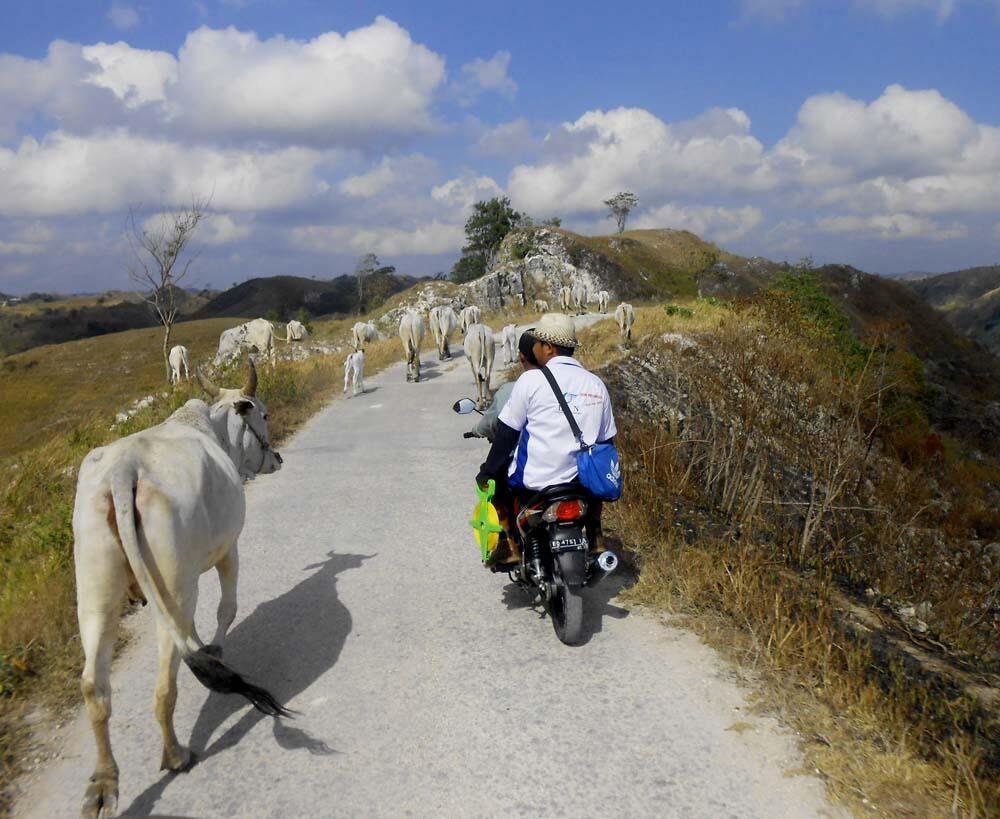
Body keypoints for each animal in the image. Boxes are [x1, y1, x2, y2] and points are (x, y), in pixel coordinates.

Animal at [73, 364, 286, 819]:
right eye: (264, 414)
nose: (277, 458)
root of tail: (123, 470)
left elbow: (193, 630)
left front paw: (206, 649)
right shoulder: (228, 549)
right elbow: (226, 608)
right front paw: (215, 651)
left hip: (95, 592)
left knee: (94, 685)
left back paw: (104, 783)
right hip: (173, 583)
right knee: (164, 682)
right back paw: (175, 754)